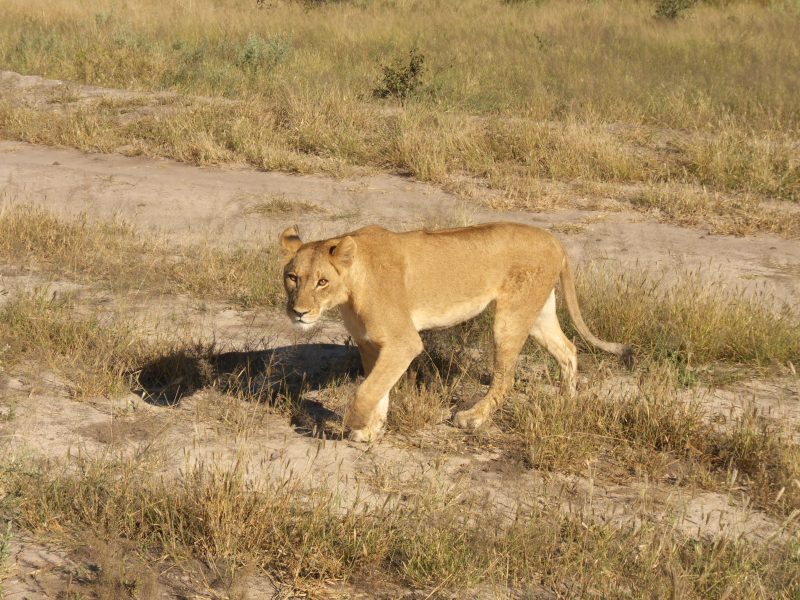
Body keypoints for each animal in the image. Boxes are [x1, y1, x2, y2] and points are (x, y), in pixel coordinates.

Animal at [280, 222, 634, 442]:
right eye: (292, 277)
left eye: (322, 281)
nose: (298, 313)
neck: (350, 289)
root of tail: (555, 240)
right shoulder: (369, 343)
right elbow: (378, 388)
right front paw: (371, 431)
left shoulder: (404, 342)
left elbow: (367, 390)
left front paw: (354, 423)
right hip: (538, 313)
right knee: (568, 350)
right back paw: (566, 403)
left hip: (511, 317)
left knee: (506, 378)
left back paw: (473, 418)